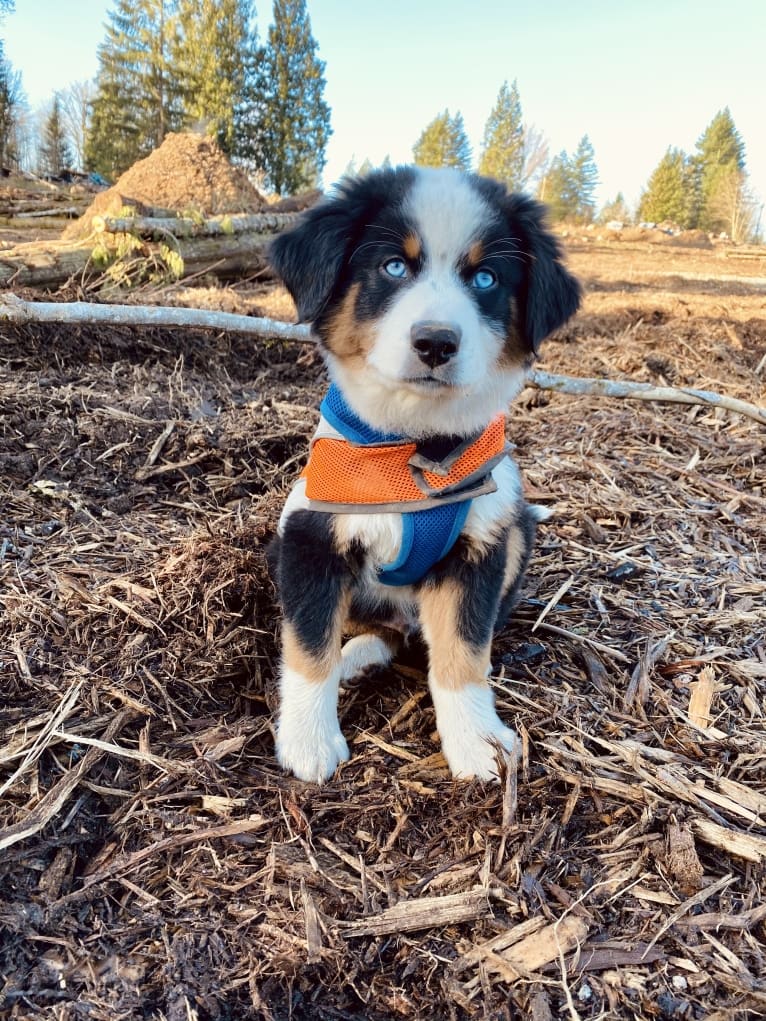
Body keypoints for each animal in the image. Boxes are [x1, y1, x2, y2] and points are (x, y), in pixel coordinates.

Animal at [267, 167, 580, 784]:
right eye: (394, 267)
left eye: (485, 277)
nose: (436, 341)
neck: (414, 451)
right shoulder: (310, 536)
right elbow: (309, 645)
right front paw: (308, 742)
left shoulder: (480, 547)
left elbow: (463, 652)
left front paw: (478, 744)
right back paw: (353, 660)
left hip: (518, 534)